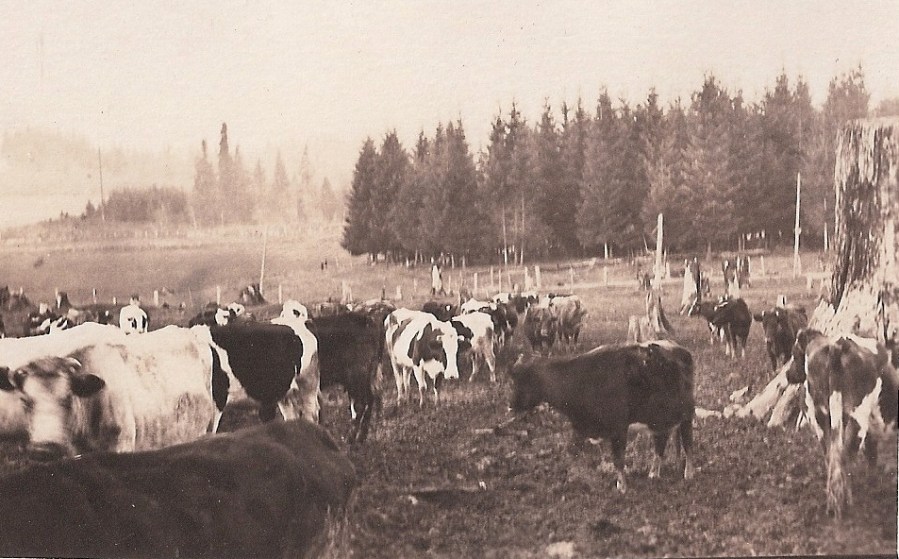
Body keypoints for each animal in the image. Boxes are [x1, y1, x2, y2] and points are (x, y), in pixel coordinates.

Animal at [309, 312, 383, 444]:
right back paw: (361, 437)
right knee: (370, 399)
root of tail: (367, 320)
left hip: (355, 376)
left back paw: (350, 438)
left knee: (361, 404)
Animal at [509, 341, 695, 493]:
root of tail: (681, 350)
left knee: (687, 444)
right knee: (660, 444)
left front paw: (622, 487)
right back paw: (653, 473)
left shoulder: (618, 428)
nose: (511, 406)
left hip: (687, 415)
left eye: (523, 379)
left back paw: (688, 474)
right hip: (658, 419)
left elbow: (618, 460)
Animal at [786, 329, 899, 518]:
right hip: (857, 417)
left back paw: (834, 506)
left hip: (823, 418)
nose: (788, 374)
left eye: (794, 354)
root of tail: (837, 345)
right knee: (846, 456)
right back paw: (847, 505)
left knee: (832, 455)